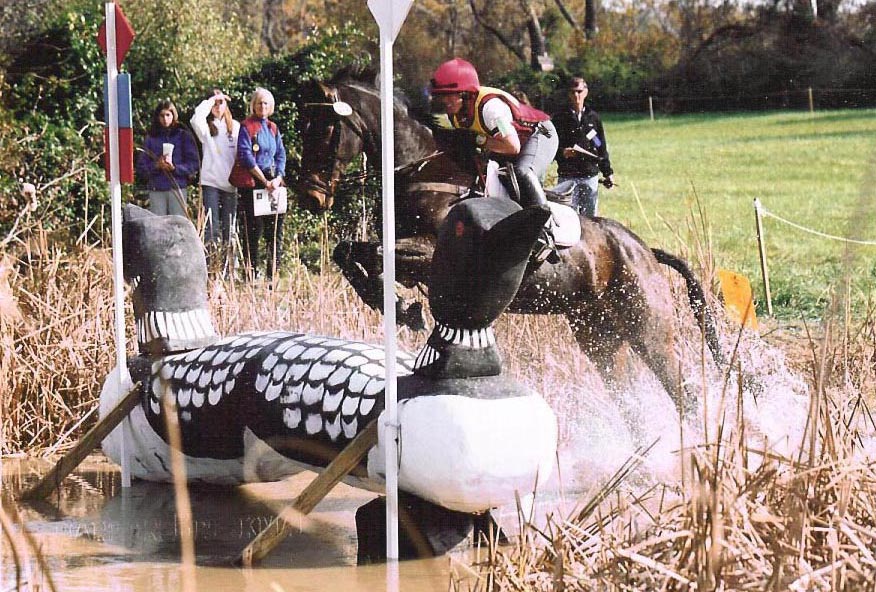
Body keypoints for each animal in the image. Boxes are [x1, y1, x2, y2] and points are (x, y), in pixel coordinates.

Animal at [298, 76, 724, 414]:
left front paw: (404, 308)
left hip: (648, 328)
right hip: (599, 336)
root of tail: (644, 251)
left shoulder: (430, 252)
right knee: (630, 399)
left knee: (682, 394)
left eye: (326, 130)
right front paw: (394, 304)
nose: (311, 198)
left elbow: (374, 253)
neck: (424, 169)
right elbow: (349, 252)